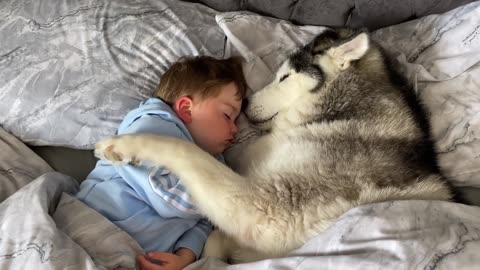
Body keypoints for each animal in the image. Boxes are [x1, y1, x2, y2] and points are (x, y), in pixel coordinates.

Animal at [95, 28, 452, 262]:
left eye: (285, 77)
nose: (244, 102)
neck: (340, 113)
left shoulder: (264, 209)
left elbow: (185, 151)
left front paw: (124, 145)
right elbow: (214, 241)